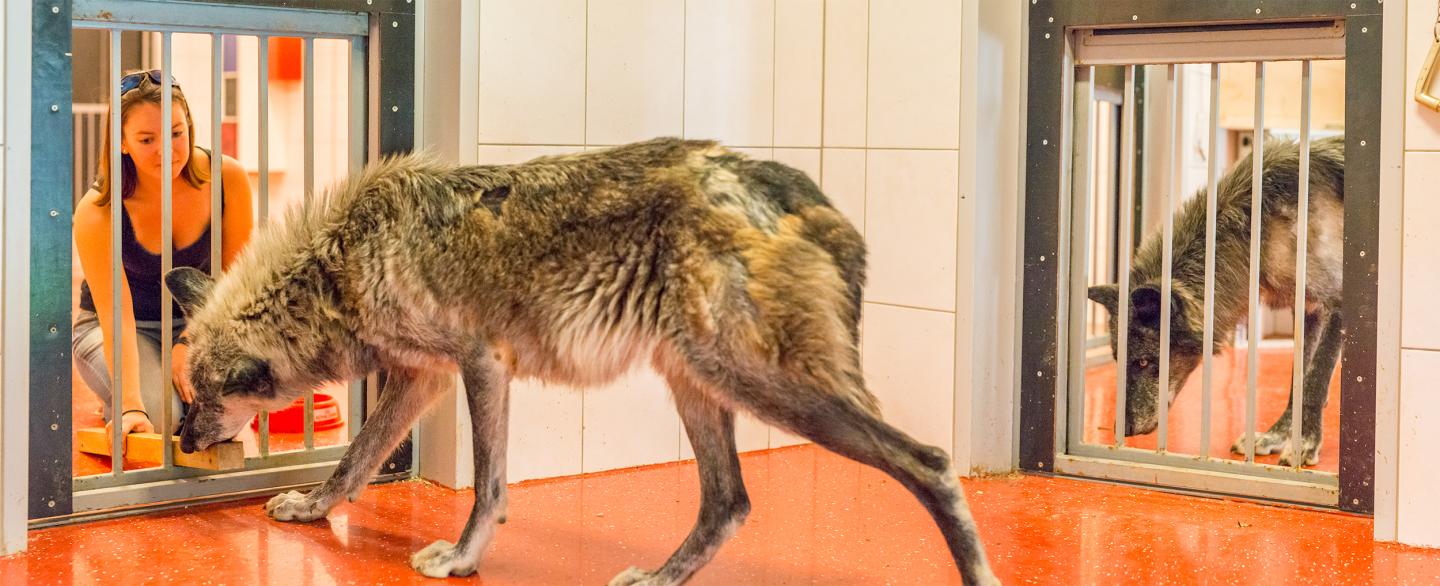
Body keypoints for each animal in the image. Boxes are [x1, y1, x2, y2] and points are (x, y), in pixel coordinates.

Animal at [164, 137, 998, 585]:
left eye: (200, 398)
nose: (180, 442)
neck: (337, 263)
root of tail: (794, 187)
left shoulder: (480, 365)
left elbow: (488, 484)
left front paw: (461, 558)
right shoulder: (421, 380)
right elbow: (353, 463)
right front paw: (310, 509)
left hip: (767, 387)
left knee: (928, 463)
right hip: (697, 384)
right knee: (728, 503)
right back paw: (659, 576)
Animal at [1086, 135, 1344, 467]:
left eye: (1143, 361)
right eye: (1119, 360)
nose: (1124, 429)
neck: (1257, 227)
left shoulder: (1337, 304)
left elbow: (1315, 380)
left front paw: (1306, 444)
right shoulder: (1308, 310)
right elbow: (1297, 383)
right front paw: (1276, 436)